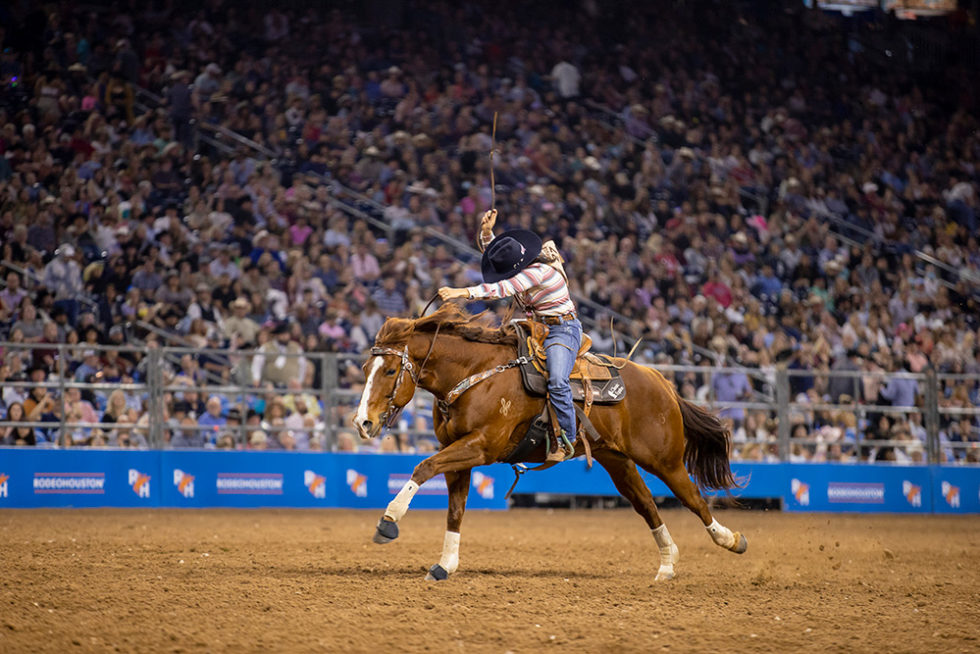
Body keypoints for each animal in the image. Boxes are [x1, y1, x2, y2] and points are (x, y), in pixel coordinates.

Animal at [356, 306, 748, 584]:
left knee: (693, 498)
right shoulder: (459, 454)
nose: (363, 422)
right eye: (363, 369)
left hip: (664, 460)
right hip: (618, 460)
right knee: (647, 504)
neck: (474, 374)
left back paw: (730, 540)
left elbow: (423, 467)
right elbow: (455, 508)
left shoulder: (481, 446)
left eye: (389, 371)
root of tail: (662, 382)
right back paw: (667, 565)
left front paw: (388, 521)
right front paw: (445, 565)